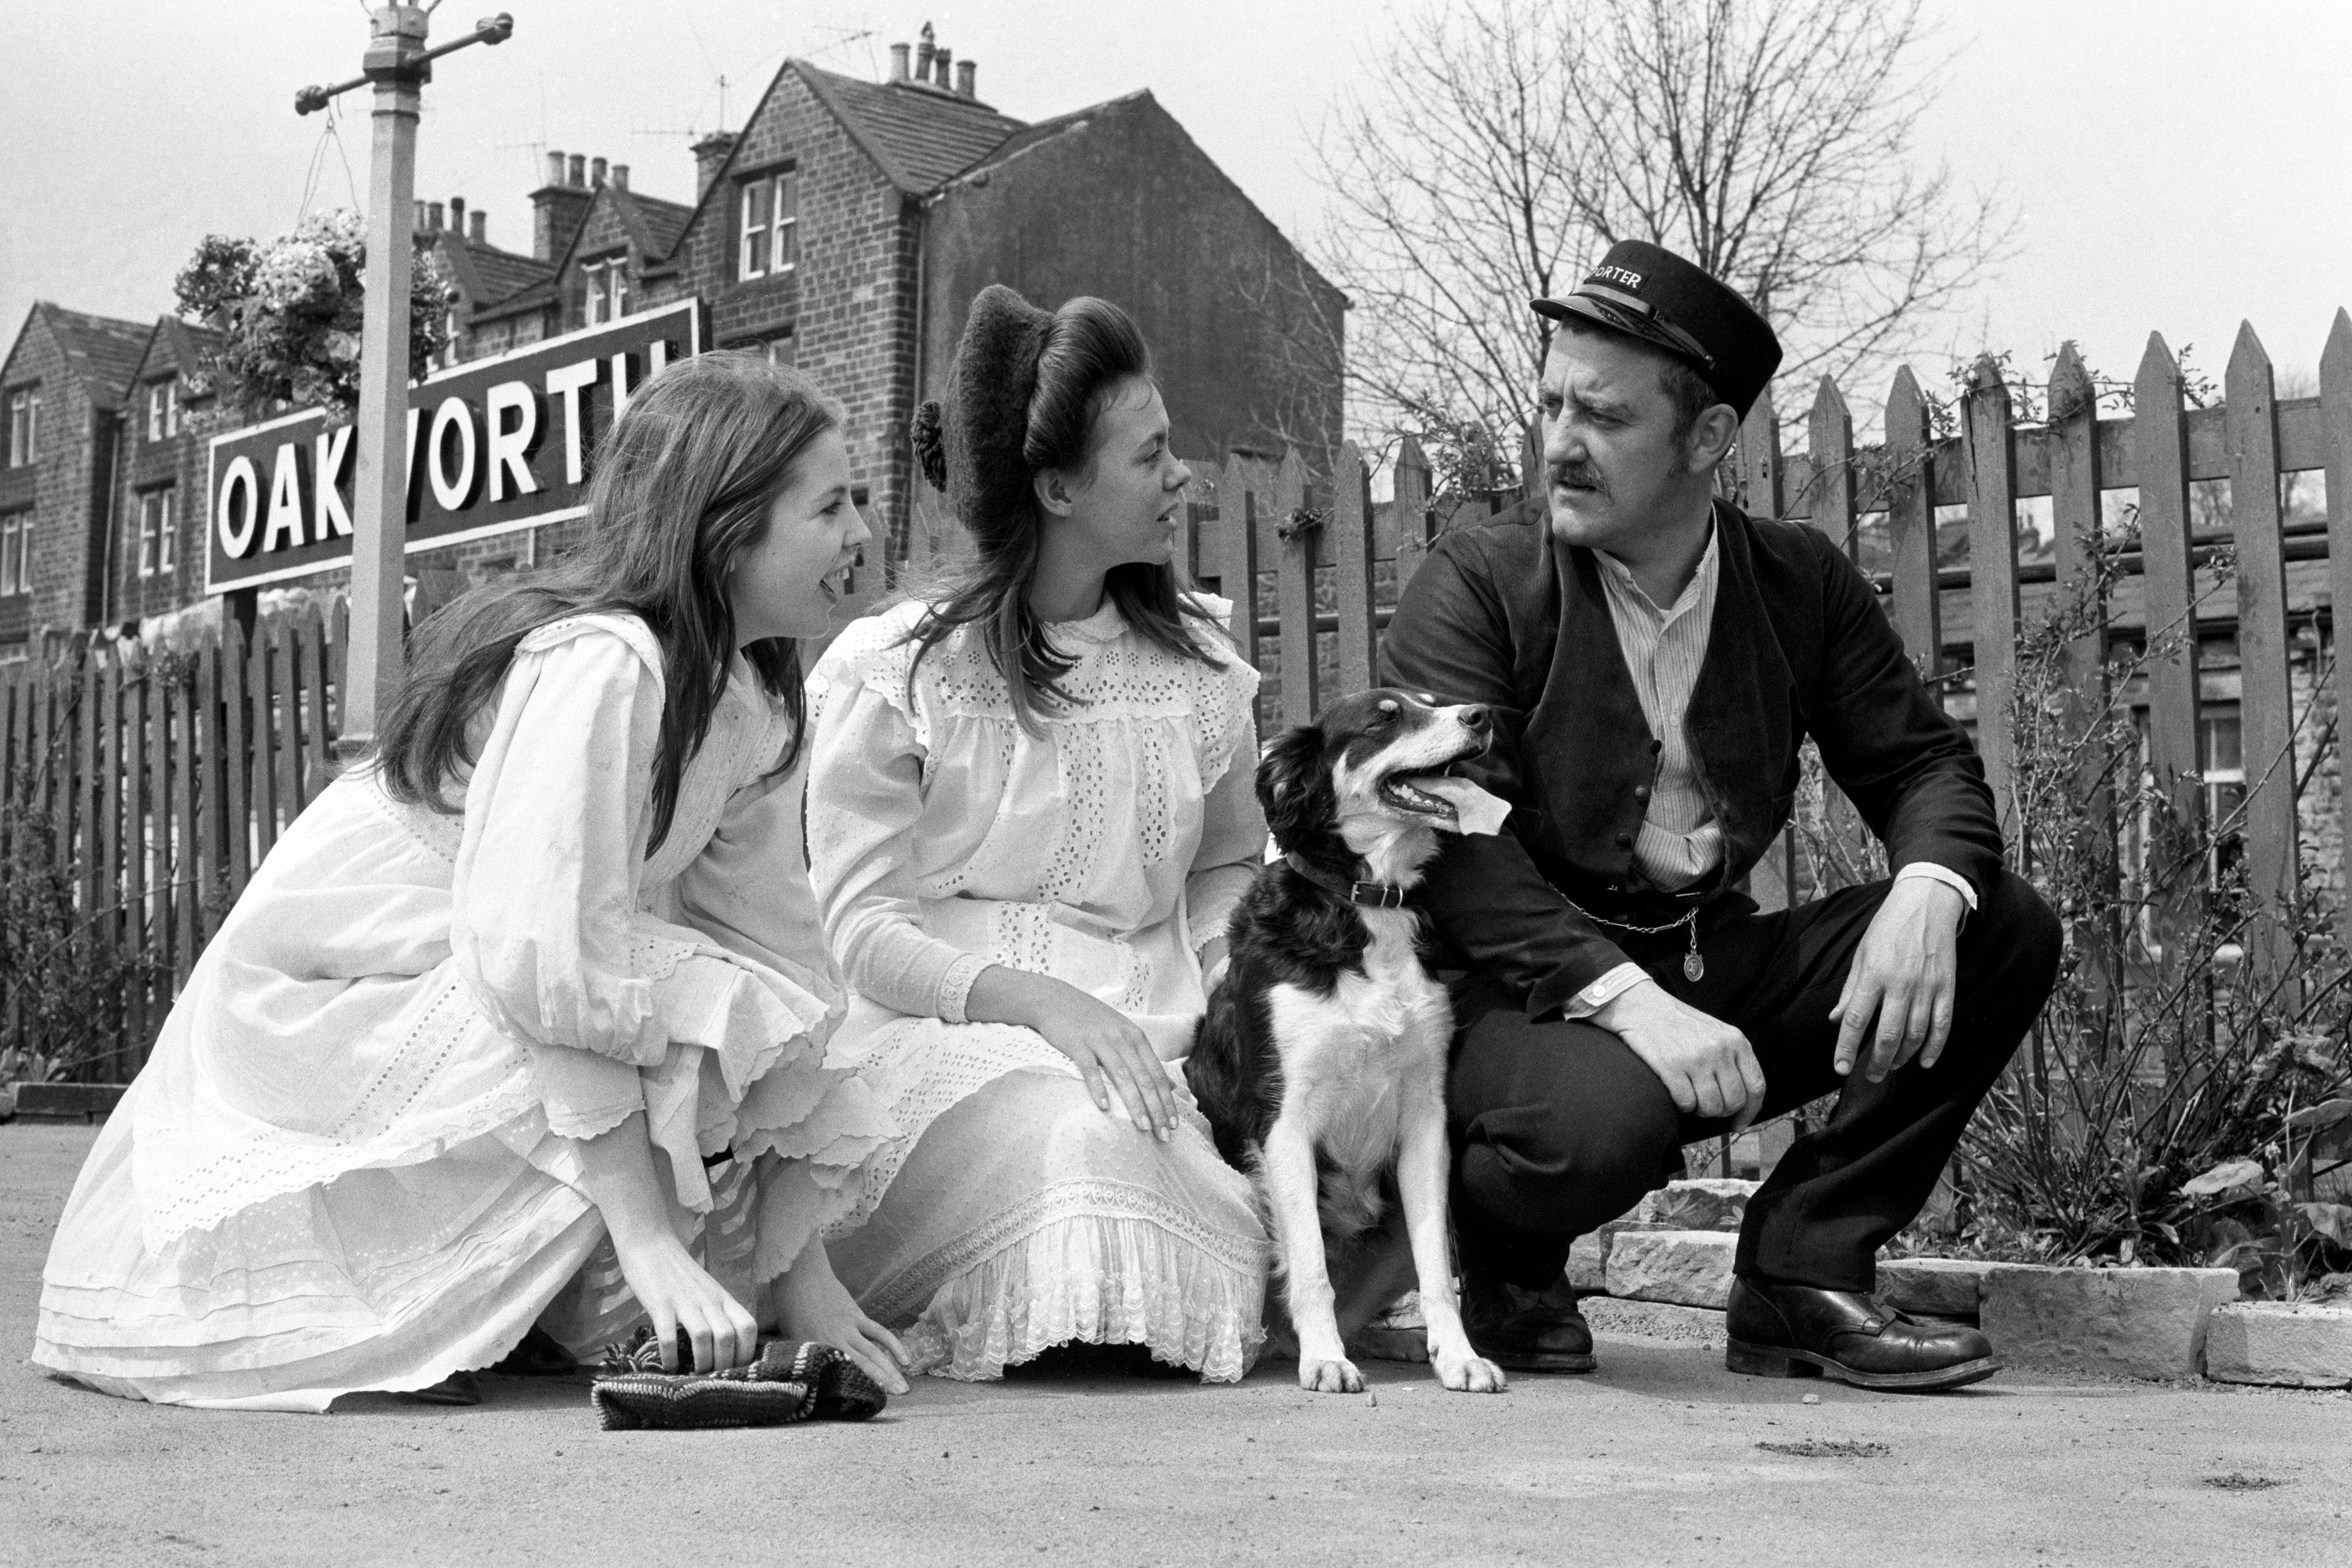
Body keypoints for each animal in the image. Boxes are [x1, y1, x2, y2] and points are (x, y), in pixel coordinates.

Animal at [1194, 691, 1505, 1391]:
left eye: (1431, 700)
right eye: (1385, 717)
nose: (1480, 714)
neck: (1368, 901)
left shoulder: (1425, 1119)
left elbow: (1436, 1270)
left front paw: (1460, 1355)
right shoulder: (1283, 1119)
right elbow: (1310, 1268)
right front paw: (1326, 1360)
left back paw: (1402, 1343)